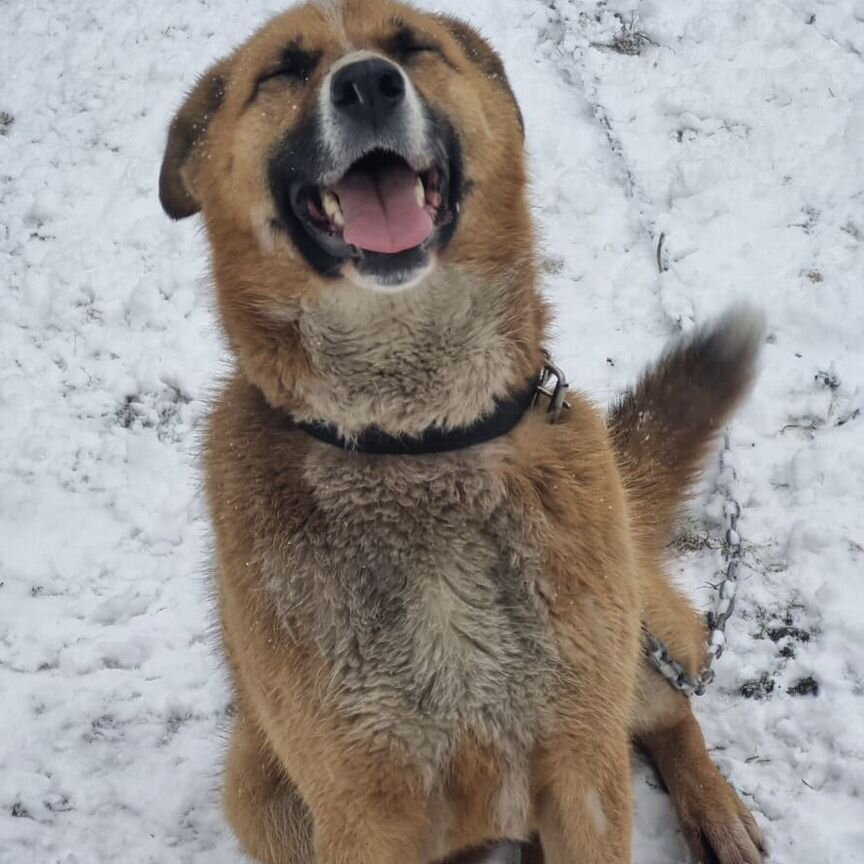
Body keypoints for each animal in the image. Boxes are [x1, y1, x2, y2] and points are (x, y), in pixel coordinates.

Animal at [162, 3, 768, 860]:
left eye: (414, 47)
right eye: (284, 69)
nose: (368, 85)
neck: (419, 438)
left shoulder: (584, 775)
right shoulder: (363, 812)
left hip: (640, 649)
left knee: (670, 704)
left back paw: (716, 811)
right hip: (259, 791)